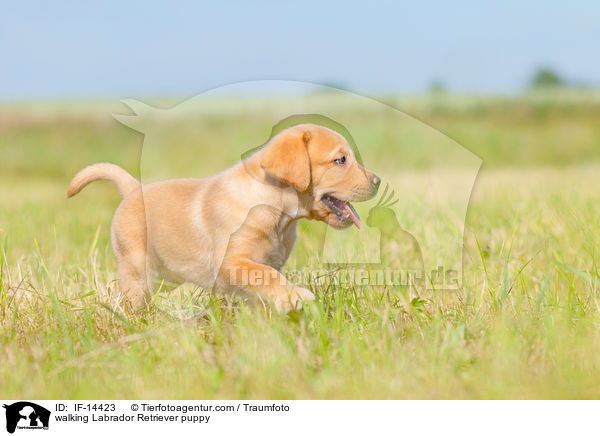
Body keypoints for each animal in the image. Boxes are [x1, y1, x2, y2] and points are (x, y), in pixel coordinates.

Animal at [68, 124, 380, 312]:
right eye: (340, 160)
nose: (377, 181)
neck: (276, 214)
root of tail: (134, 188)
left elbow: (266, 281)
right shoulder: (230, 262)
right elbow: (267, 275)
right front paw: (296, 296)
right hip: (136, 270)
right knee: (131, 299)